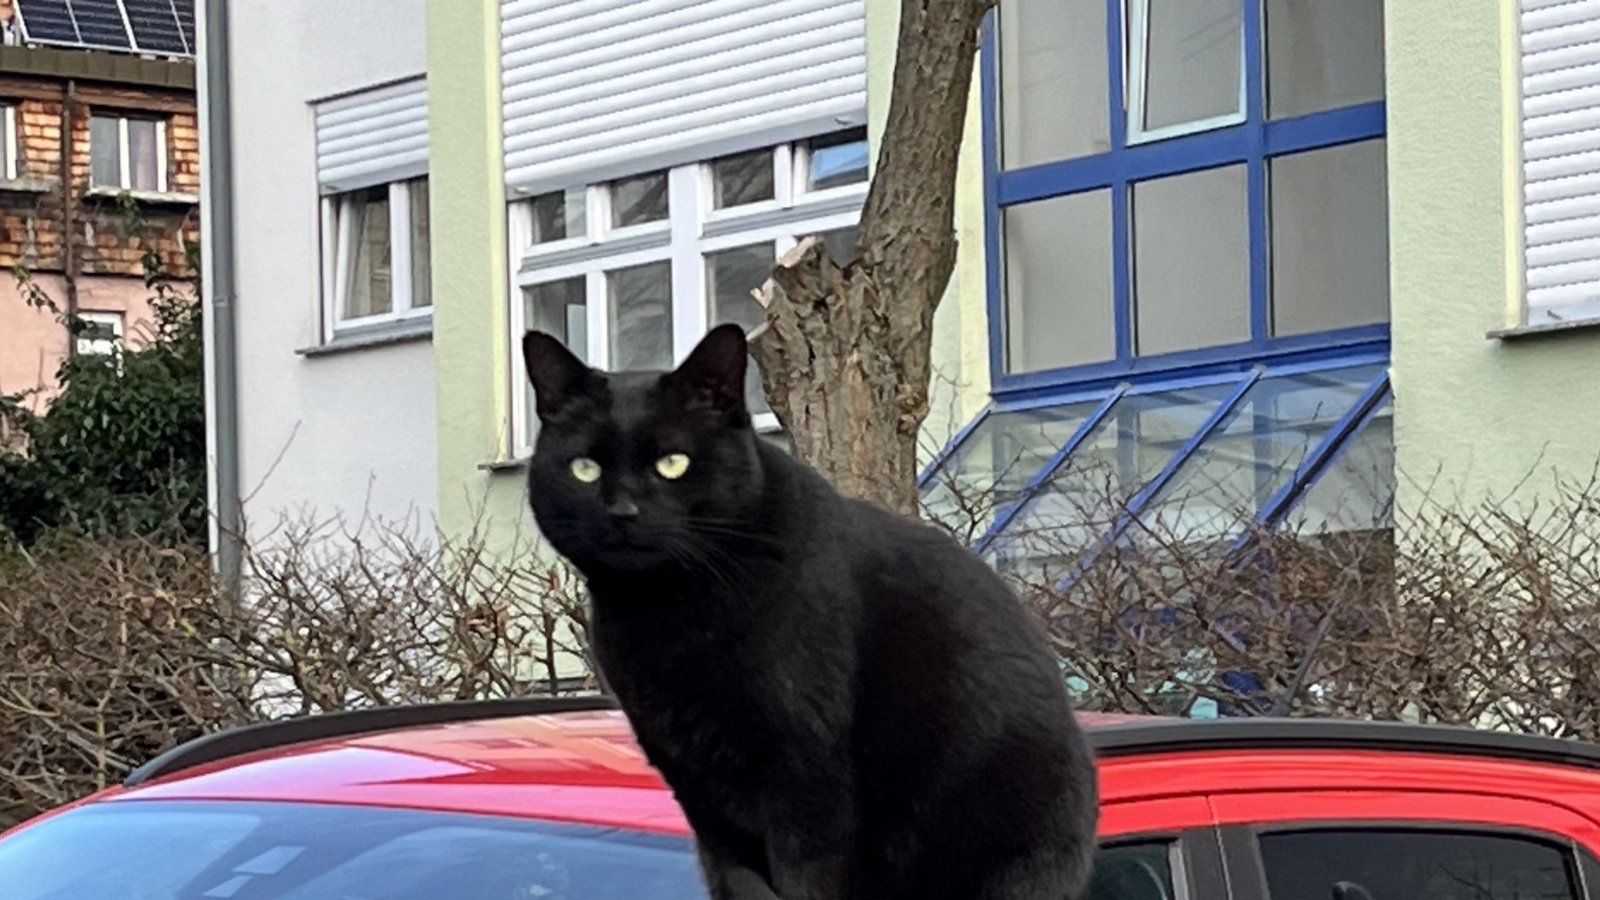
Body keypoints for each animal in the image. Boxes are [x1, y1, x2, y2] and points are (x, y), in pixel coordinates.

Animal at [524, 323, 1100, 896]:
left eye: (673, 463)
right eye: (584, 468)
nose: (622, 511)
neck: (666, 610)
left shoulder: (805, 779)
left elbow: (809, 879)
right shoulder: (700, 794)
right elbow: (736, 881)